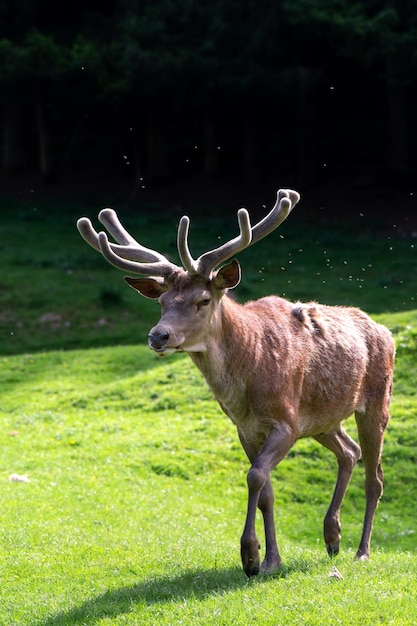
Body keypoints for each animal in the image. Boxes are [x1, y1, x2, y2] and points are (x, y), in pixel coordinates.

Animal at [77, 189, 394, 576]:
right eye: (162, 301)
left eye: (203, 299)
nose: (158, 336)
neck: (246, 386)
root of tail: (385, 331)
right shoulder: (247, 428)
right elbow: (267, 490)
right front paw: (272, 559)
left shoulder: (285, 420)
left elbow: (255, 477)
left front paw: (250, 556)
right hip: (322, 419)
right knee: (348, 451)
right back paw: (332, 537)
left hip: (377, 400)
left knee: (375, 477)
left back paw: (361, 551)